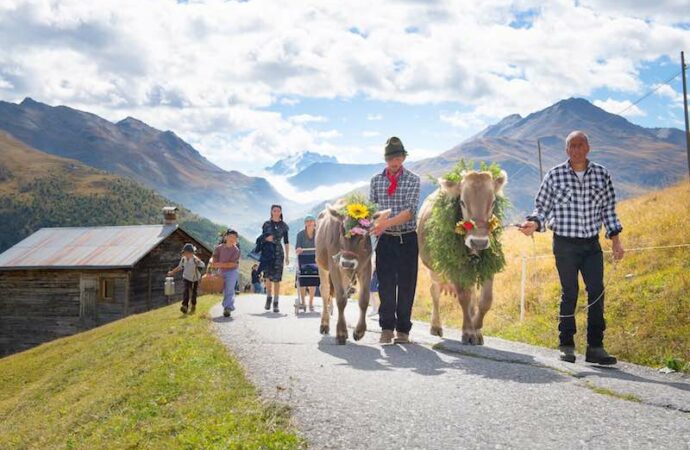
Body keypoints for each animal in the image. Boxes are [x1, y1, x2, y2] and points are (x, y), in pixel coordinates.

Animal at [316, 193, 390, 344]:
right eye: (342, 230)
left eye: (364, 234)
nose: (348, 263)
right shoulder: (334, 266)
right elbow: (340, 298)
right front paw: (341, 332)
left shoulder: (366, 266)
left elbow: (364, 299)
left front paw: (359, 331)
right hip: (322, 265)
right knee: (325, 290)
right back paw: (325, 325)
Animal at [414, 162, 506, 344]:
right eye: (462, 202)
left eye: (493, 202)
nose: (478, 241)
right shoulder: (455, 266)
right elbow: (464, 297)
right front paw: (469, 332)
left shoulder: (488, 266)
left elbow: (485, 300)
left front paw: (476, 327)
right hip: (435, 269)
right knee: (434, 291)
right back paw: (436, 326)